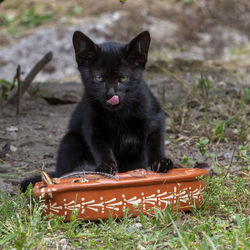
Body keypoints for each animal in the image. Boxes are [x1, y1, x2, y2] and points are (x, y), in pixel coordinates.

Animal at [20, 31, 173, 191]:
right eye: (99, 78)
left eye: (123, 78)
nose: (111, 94)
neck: (119, 114)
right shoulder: (92, 125)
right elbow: (101, 148)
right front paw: (106, 167)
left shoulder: (154, 116)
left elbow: (156, 141)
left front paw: (161, 162)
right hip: (70, 141)